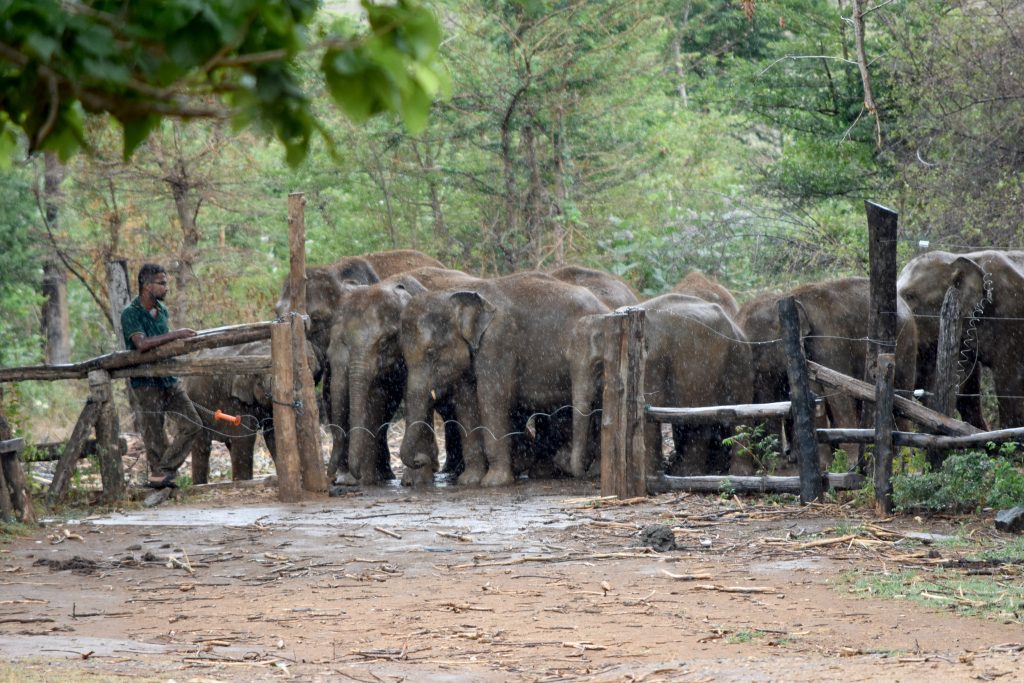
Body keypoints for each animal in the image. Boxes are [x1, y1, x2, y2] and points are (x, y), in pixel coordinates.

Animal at [326, 267, 480, 487]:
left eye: (383, 342)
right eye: (329, 351)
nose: (332, 479)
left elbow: (413, 396)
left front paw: (414, 480)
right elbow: (375, 399)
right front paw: (367, 480)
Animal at [398, 272, 611, 487]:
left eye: (431, 353)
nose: (421, 459)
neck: (457, 293)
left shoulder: (498, 343)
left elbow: (491, 399)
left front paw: (493, 482)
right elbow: (466, 404)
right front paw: (469, 481)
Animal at [567, 294, 752, 479]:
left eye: (599, 366)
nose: (586, 471)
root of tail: (738, 328)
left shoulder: (650, 363)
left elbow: (647, 408)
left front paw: (648, 476)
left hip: (738, 361)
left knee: (739, 411)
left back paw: (738, 474)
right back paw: (686, 472)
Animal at [734, 277, 918, 474]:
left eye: (754, 350)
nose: (774, 464)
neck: (787, 296)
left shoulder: (829, 341)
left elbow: (838, 392)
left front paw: (848, 465)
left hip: (904, 343)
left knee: (901, 396)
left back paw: (903, 462)